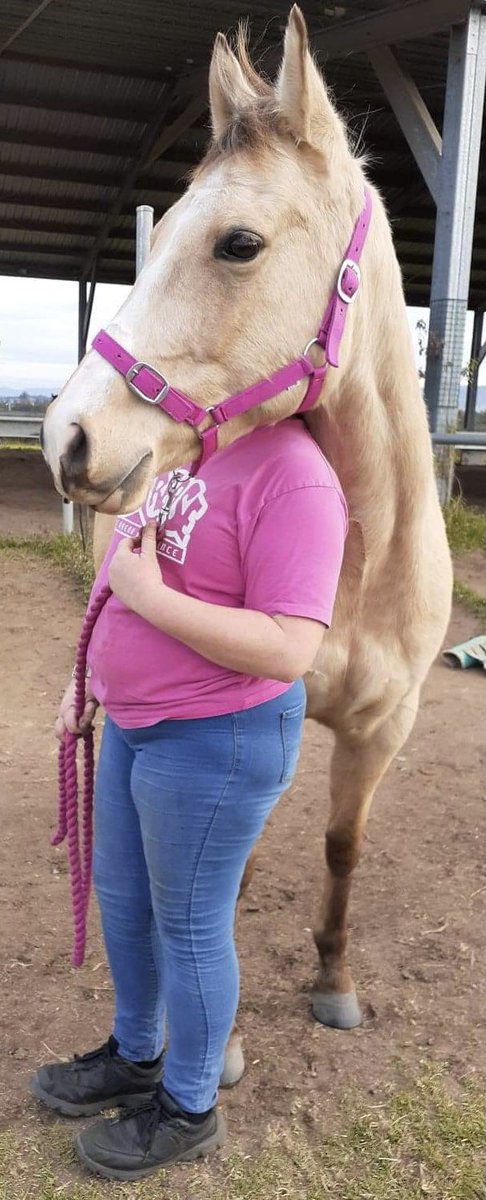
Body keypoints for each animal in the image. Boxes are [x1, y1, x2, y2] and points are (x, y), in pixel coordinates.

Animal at [41, 6, 452, 1075]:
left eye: (238, 243)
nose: (67, 437)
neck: (359, 562)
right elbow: (227, 870)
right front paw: (215, 1044)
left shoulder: (385, 725)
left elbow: (341, 849)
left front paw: (334, 982)